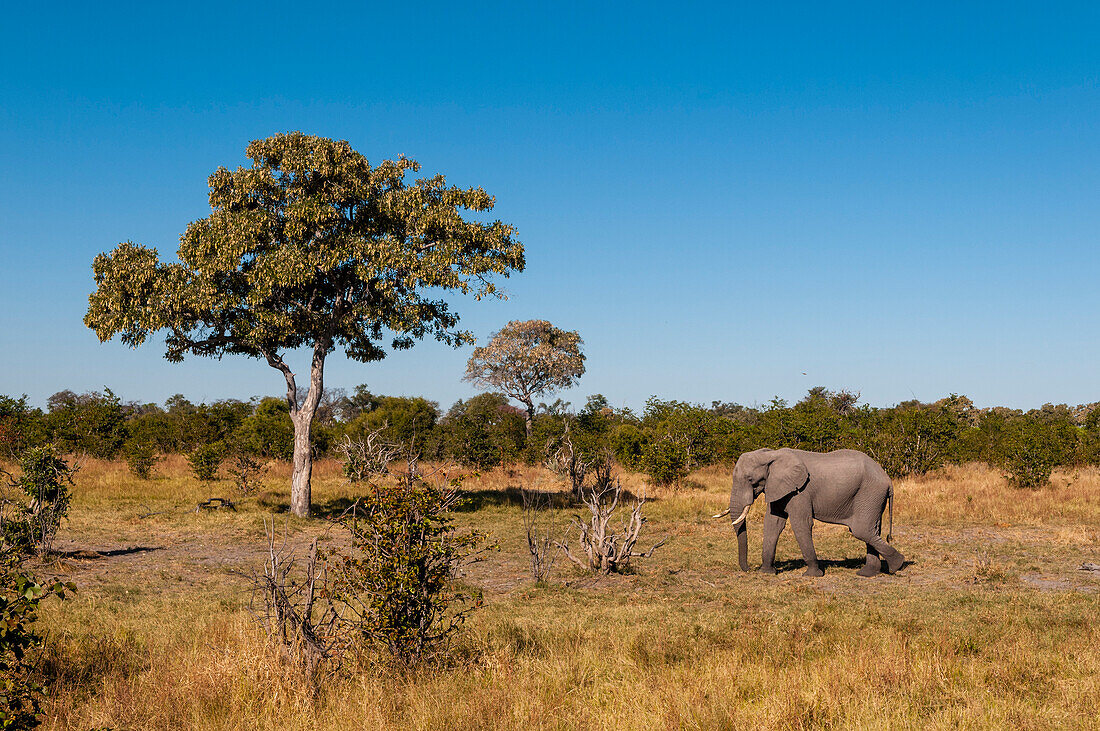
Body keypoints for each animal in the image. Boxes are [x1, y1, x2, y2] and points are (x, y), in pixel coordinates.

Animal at [712, 444, 902, 576]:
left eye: (751, 480)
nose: (749, 569)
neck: (772, 454)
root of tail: (888, 479)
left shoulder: (800, 491)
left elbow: (800, 524)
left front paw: (811, 575)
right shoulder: (779, 487)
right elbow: (773, 523)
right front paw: (766, 572)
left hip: (870, 493)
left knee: (861, 530)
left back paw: (897, 565)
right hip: (873, 497)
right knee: (872, 530)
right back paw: (868, 573)